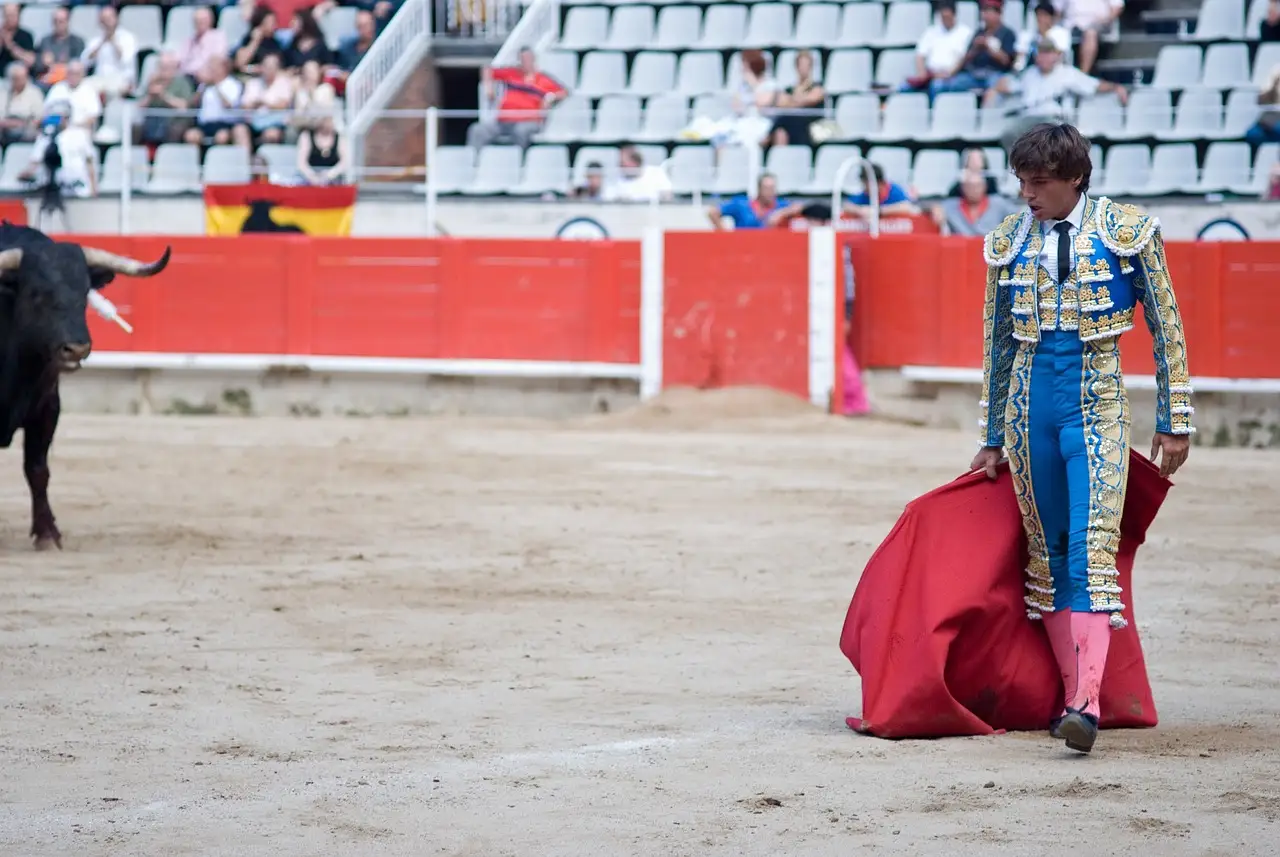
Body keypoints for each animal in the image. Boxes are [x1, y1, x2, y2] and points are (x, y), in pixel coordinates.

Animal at [1, 223, 171, 550]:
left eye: (84, 292)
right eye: (36, 293)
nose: (76, 349)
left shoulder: (47, 407)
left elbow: (37, 469)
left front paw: (47, 534)